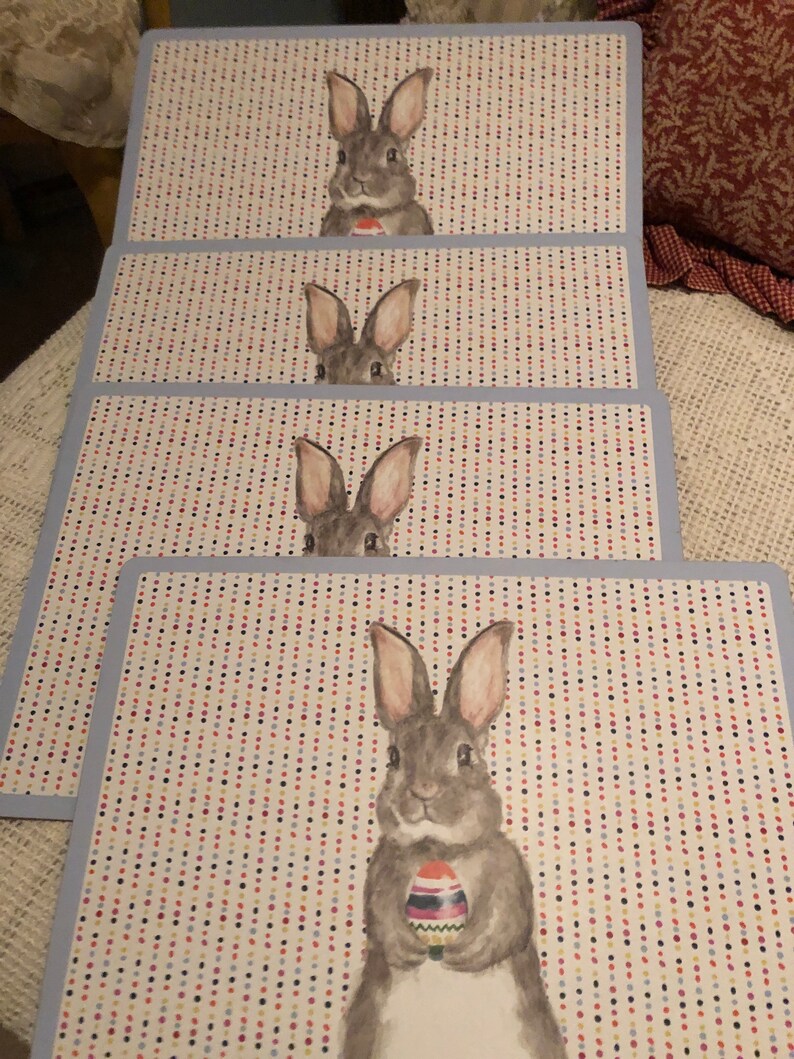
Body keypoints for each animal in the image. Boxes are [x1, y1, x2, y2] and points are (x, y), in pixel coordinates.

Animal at [341, 621, 569, 1059]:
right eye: (394, 758)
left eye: (465, 755)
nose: (424, 791)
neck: (438, 849)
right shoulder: (382, 871)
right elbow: (379, 912)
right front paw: (408, 949)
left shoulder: (508, 873)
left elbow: (506, 917)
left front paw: (466, 953)